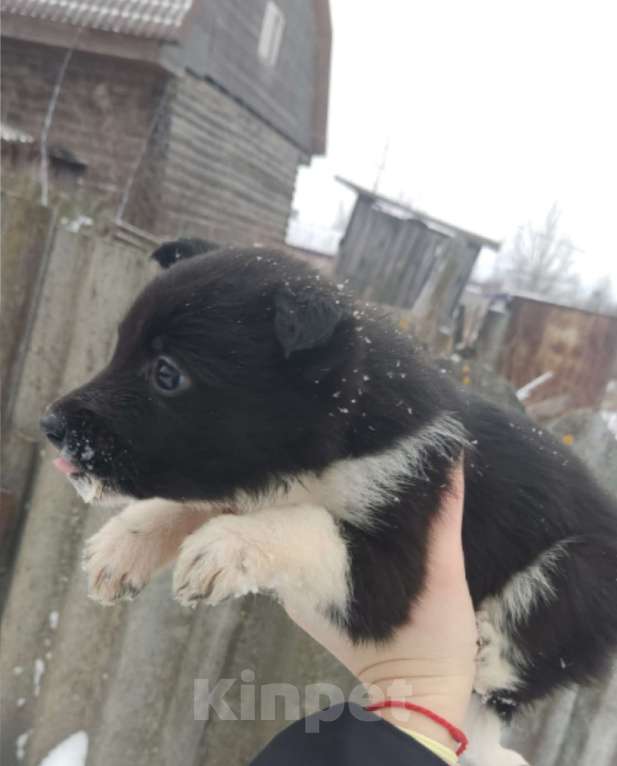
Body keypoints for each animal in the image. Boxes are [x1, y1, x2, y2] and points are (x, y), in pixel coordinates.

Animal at [42, 238, 616, 760]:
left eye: (166, 373)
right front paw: (124, 544)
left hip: (583, 572)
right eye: (118, 348)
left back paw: (490, 646)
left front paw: (227, 545)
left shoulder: (397, 565)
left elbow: (310, 524)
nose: (50, 426)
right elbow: (193, 500)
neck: (343, 434)